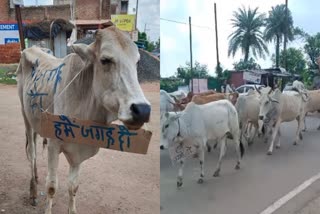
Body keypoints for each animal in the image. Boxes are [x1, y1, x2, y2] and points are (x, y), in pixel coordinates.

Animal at [16, 25, 152, 213]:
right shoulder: (53, 145)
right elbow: (51, 187)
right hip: (25, 116)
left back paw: (35, 177)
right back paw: (33, 192)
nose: (142, 110)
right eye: (105, 60)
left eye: (137, 62)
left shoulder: (79, 151)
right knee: (32, 154)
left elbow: (73, 187)